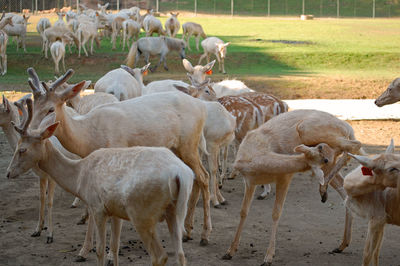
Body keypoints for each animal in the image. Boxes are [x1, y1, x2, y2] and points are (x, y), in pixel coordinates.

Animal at [5, 100, 194, 266]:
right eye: (16, 147)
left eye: (22, 149)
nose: (8, 173)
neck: (79, 178)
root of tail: (180, 174)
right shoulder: (116, 211)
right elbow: (115, 247)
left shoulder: (98, 207)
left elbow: (100, 250)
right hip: (174, 212)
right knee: (180, 255)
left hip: (142, 213)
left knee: (160, 256)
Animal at [222, 109, 366, 264]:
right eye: (319, 150)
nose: (323, 147)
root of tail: (348, 128)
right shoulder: (249, 182)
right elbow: (243, 211)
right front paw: (229, 252)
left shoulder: (284, 177)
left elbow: (276, 213)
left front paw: (268, 257)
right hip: (328, 158)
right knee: (343, 184)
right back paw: (341, 244)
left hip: (309, 131)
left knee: (355, 145)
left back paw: (323, 191)